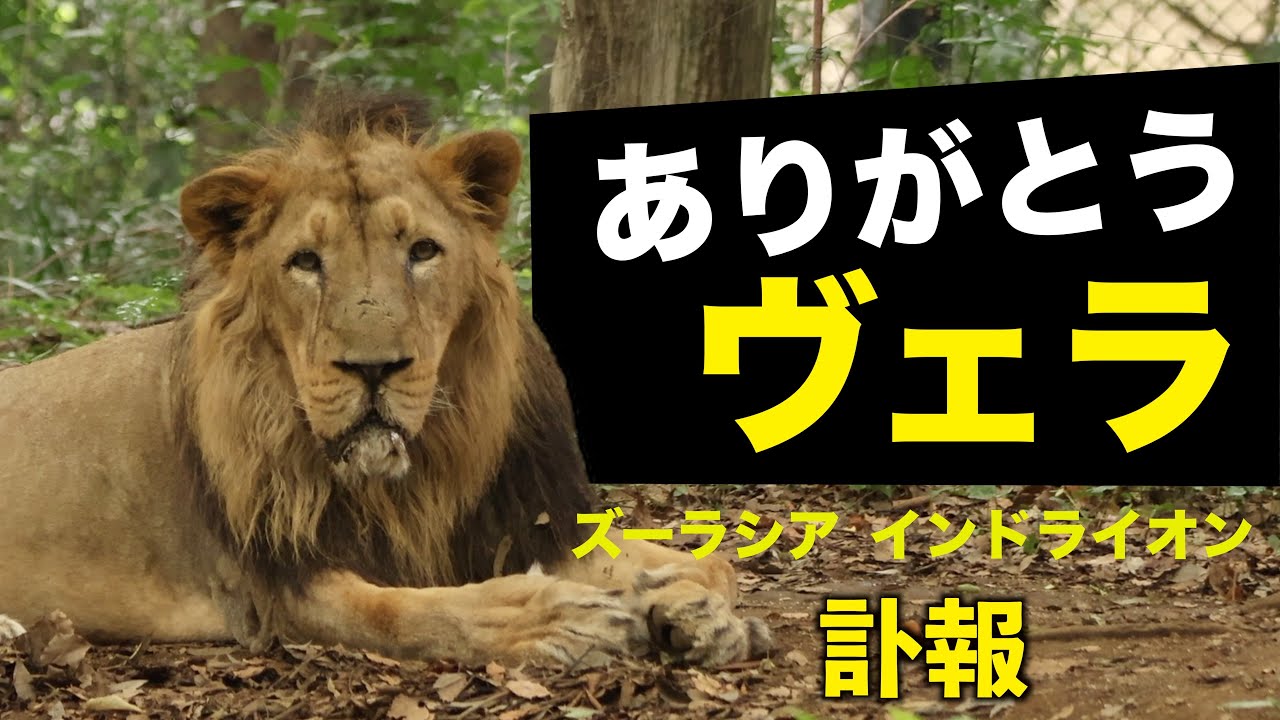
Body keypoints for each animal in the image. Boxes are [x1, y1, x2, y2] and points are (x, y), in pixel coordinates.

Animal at [0, 87, 770, 669]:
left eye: (422, 251)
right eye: (305, 261)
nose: (373, 368)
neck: (415, 478)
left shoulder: (523, 522)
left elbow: (714, 561)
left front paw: (698, 610)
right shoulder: (279, 586)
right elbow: (407, 610)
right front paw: (560, 619)